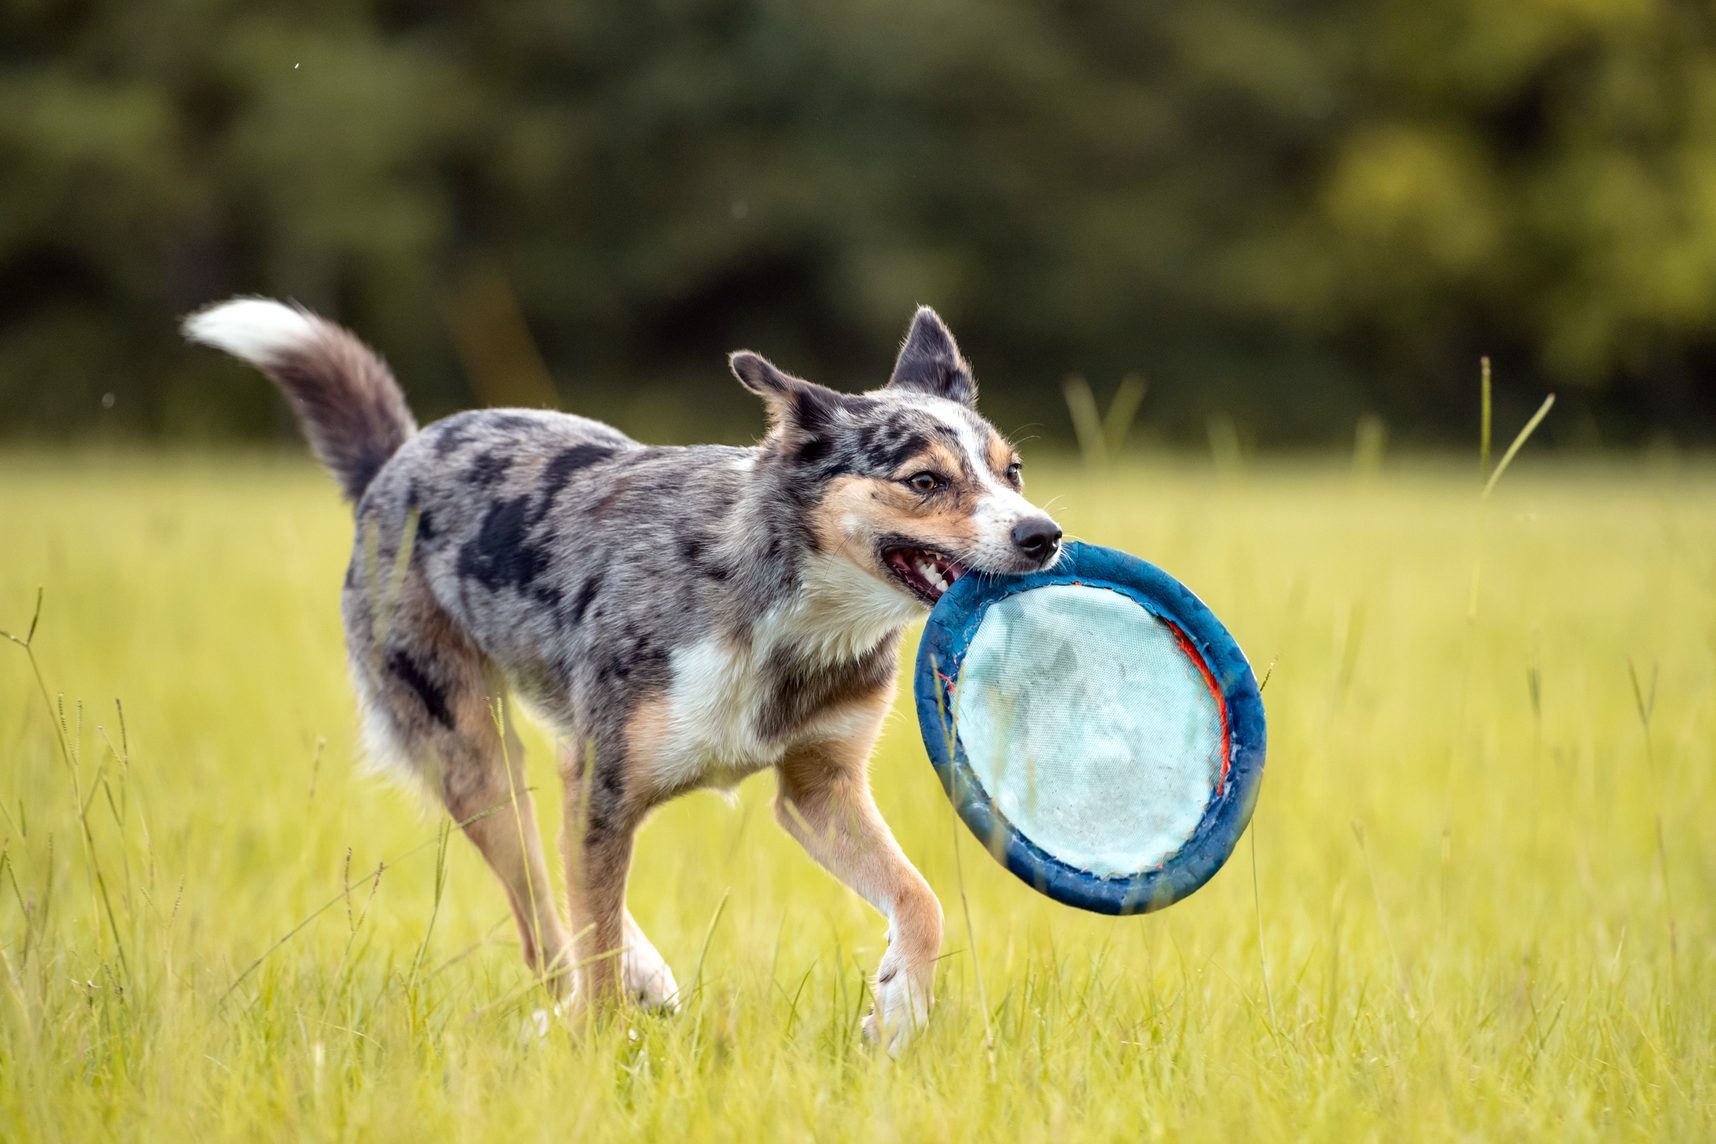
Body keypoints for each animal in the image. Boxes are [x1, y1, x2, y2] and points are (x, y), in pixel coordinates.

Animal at [177, 300, 1057, 1049]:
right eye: (924, 482)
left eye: (1011, 472)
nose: (1043, 535)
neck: (786, 618)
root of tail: (397, 460)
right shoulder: (605, 780)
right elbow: (590, 934)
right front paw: (597, 1047)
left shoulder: (817, 790)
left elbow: (921, 899)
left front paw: (901, 1010)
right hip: (473, 756)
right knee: (543, 914)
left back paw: (645, 974)